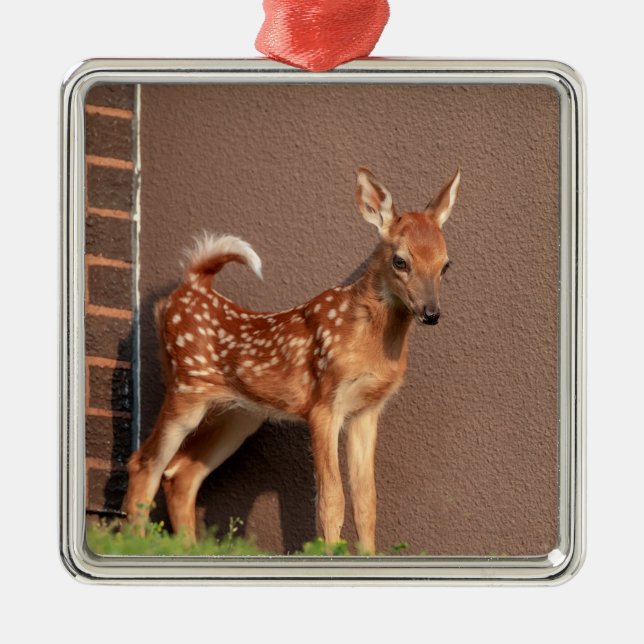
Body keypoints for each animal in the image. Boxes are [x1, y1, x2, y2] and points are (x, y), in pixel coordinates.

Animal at [124, 167, 461, 554]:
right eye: (400, 260)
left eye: (446, 265)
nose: (431, 313)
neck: (369, 343)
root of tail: (191, 285)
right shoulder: (323, 404)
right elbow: (331, 500)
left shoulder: (367, 410)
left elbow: (366, 502)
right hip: (186, 389)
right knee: (144, 463)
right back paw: (133, 544)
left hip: (239, 415)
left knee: (181, 472)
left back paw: (187, 548)